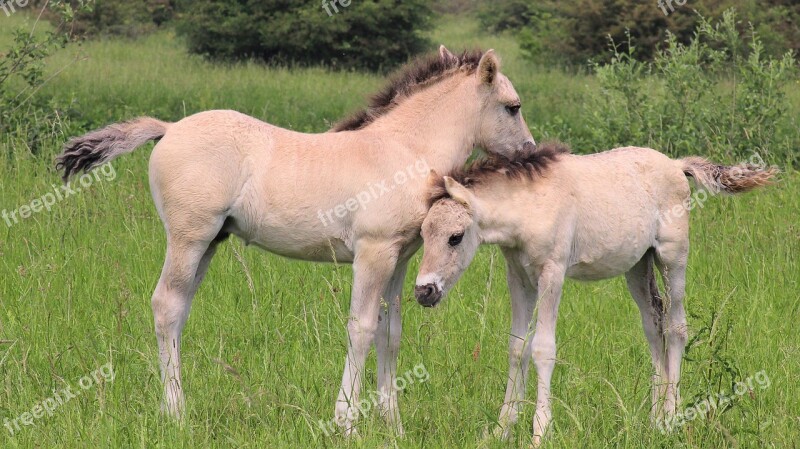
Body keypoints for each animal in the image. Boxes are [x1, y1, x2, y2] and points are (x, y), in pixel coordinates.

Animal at [53, 47, 536, 432]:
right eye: (512, 107)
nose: (530, 153)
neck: (403, 150)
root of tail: (169, 128)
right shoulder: (373, 252)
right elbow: (361, 329)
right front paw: (346, 422)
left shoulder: (400, 258)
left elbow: (391, 333)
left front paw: (393, 425)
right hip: (189, 237)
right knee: (166, 305)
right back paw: (175, 412)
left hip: (209, 243)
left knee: (180, 309)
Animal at [412, 142, 776, 442]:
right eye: (423, 234)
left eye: (456, 237)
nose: (423, 291)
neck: (530, 207)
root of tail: (676, 164)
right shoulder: (518, 276)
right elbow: (516, 347)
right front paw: (502, 430)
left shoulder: (553, 273)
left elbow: (543, 348)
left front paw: (540, 431)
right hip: (638, 265)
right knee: (653, 324)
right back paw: (654, 421)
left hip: (673, 257)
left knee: (676, 327)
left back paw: (671, 417)